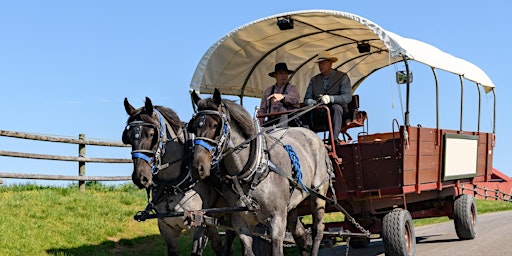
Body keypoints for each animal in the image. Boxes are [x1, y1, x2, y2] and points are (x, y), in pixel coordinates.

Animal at [121, 97, 235, 256]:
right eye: (129, 137)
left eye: (151, 134)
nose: (140, 177)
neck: (173, 186)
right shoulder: (166, 228)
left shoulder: (198, 226)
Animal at [187, 88, 332, 256]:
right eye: (194, 127)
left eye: (216, 125)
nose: (198, 167)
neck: (254, 170)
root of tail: (312, 134)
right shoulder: (241, 223)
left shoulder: (277, 221)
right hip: (291, 204)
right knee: (300, 233)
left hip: (318, 194)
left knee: (318, 229)